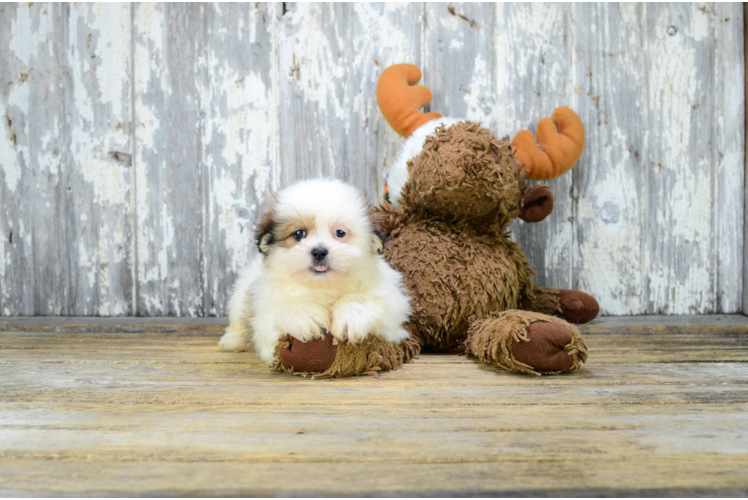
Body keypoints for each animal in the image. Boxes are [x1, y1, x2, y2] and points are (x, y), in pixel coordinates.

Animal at [219, 178, 412, 362]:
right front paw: (305, 316)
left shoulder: (391, 303)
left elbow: (370, 301)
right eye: (299, 234)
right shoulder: (265, 311)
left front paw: (351, 316)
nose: (319, 251)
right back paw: (232, 341)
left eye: (340, 233)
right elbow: (283, 311)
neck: (324, 286)